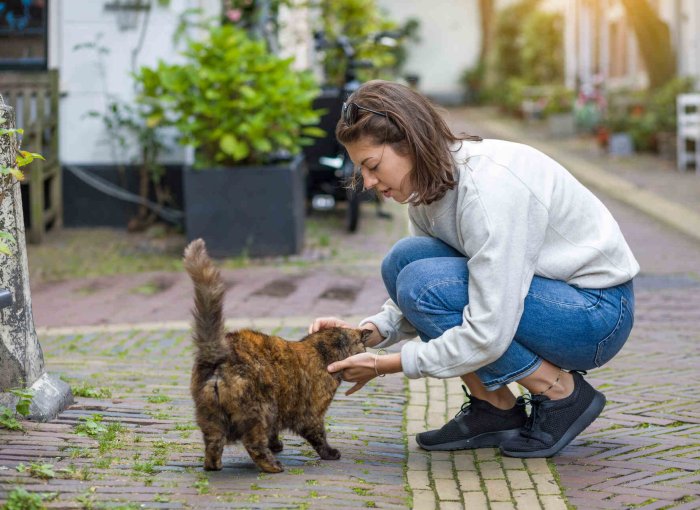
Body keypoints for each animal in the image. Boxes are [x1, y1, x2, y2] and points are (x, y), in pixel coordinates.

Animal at [183, 239, 370, 474]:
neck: (323, 351)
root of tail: (219, 354)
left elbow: (274, 433)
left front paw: (277, 445)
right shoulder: (312, 414)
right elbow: (319, 436)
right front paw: (329, 453)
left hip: (210, 417)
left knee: (213, 447)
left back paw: (215, 467)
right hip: (260, 411)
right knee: (254, 445)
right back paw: (274, 466)